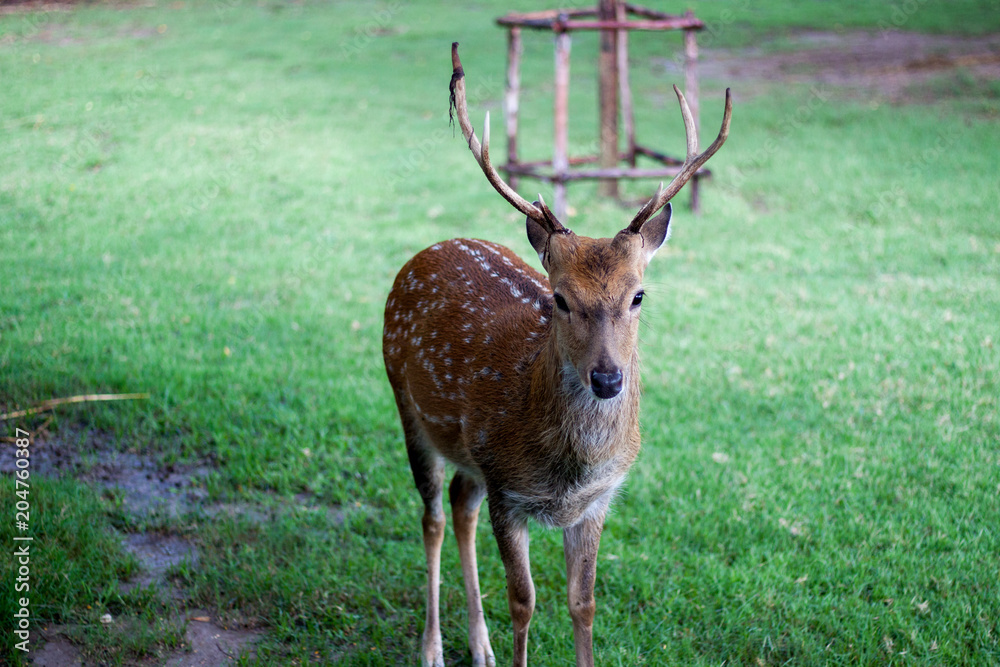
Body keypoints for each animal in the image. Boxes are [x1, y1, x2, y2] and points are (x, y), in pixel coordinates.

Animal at [382, 43, 731, 667]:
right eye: (560, 298)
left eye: (638, 294)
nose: (608, 378)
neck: (567, 468)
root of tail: (428, 250)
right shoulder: (508, 490)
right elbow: (524, 601)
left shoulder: (597, 501)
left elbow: (583, 604)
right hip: (407, 403)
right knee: (433, 516)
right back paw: (433, 648)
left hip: (470, 456)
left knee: (460, 504)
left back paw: (481, 646)